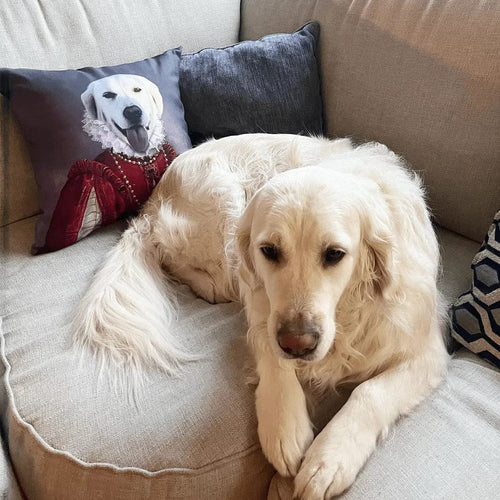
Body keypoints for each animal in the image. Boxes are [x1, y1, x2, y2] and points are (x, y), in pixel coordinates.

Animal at [75, 134, 450, 500]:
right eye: (269, 250)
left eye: (335, 254)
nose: (298, 344)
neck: (347, 311)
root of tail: (154, 197)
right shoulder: (261, 309)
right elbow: (271, 350)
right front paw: (284, 428)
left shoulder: (426, 352)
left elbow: (370, 392)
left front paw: (330, 459)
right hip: (225, 207)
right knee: (174, 257)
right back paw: (210, 286)